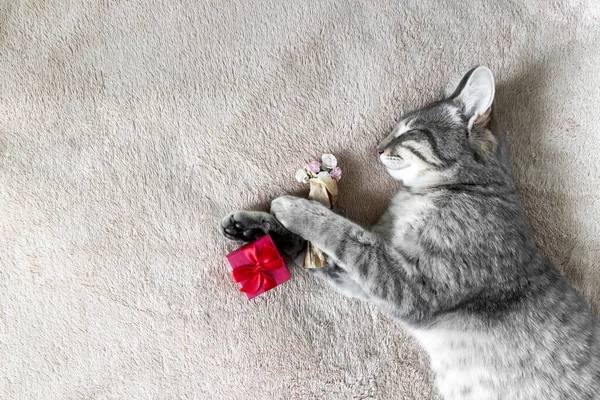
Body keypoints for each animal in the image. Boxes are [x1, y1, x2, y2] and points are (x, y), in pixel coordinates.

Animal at [220, 67, 600, 398]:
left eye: (409, 131)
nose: (377, 146)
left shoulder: (410, 284)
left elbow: (343, 232)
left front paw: (295, 207)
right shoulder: (372, 278)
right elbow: (314, 249)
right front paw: (257, 227)